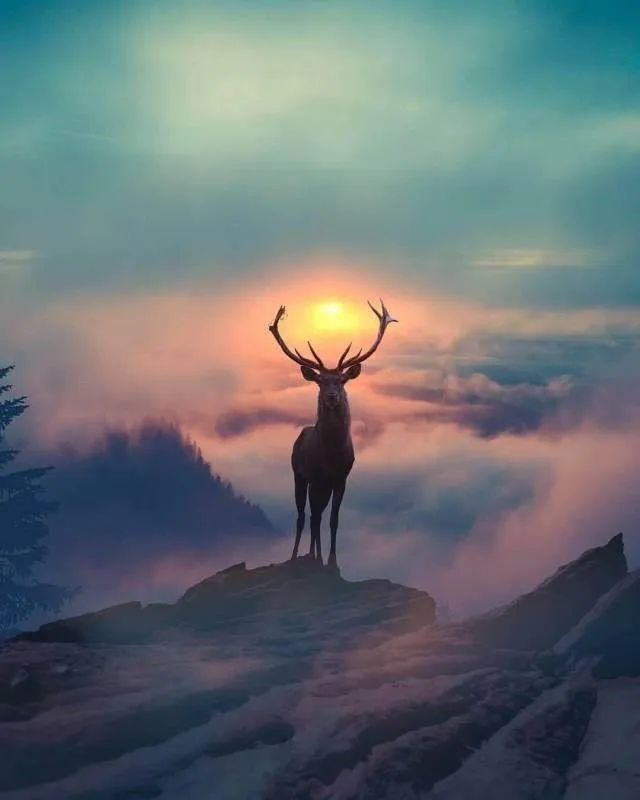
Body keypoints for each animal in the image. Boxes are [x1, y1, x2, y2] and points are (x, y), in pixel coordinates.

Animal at [268, 299, 398, 569]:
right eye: (320, 381)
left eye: (341, 380)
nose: (331, 397)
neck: (332, 455)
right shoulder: (315, 476)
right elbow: (315, 518)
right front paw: (316, 558)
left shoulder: (341, 478)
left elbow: (333, 519)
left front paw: (332, 561)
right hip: (298, 474)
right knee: (303, 516)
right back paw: (297, 555)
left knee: (316, 515)